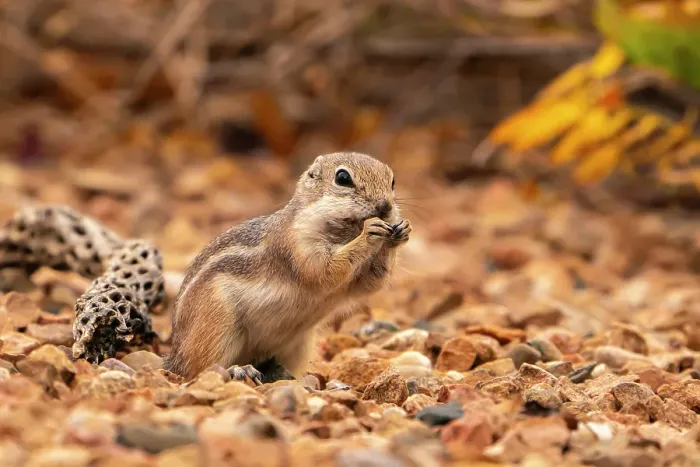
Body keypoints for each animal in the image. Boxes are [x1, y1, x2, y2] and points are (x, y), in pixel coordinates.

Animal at [164, 152, 411, 383]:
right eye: (343, 178)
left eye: (393, 180)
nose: (385, 206)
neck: (344, 232)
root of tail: (175, 356)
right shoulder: (298, 246)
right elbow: (325, 271)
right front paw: (369, 232)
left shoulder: (357, 282)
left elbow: (372, 283)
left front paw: (400, 232)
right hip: (216, 324)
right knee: (199, 368)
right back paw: (238, 370)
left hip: (300, 345)